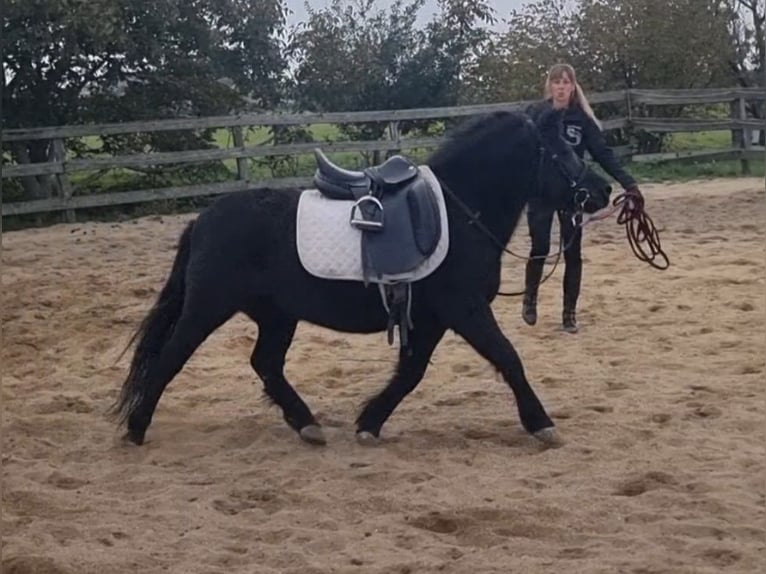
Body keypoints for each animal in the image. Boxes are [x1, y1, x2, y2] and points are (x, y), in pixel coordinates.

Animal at [110, 106, 613, 449]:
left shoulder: (430, 318)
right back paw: (136, 429)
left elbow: (410, 372)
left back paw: (307, 424)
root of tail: (203, 220)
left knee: (266, 364)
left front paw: (370, 422)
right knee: (171, 357)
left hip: (277, 315)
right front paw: (541, 423)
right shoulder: (464, 309)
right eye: (563, 151)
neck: (459, 211)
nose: (603, 190)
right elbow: (508, 357)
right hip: (209, 307)